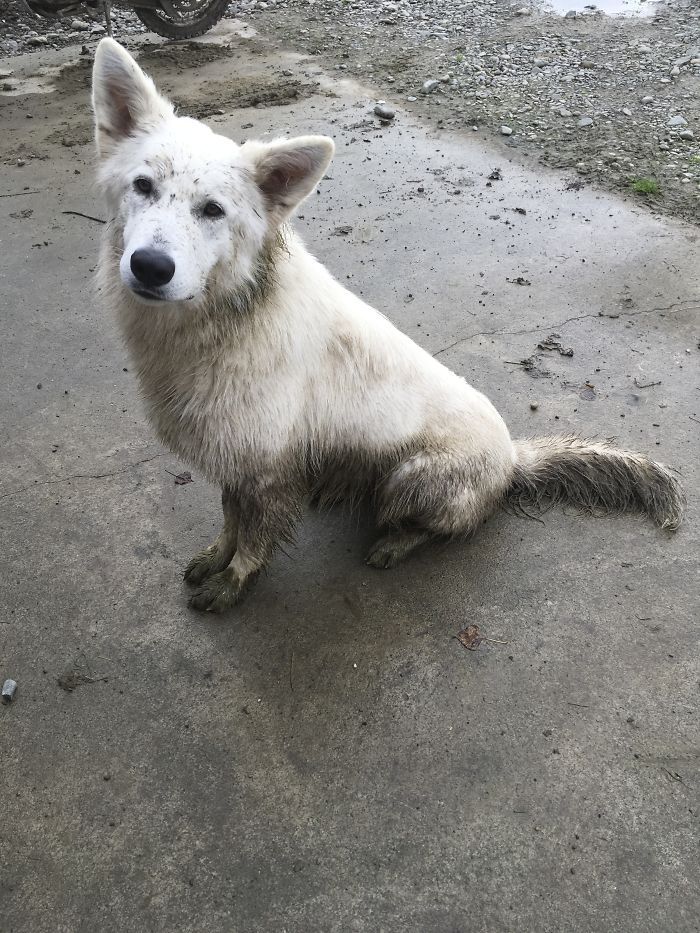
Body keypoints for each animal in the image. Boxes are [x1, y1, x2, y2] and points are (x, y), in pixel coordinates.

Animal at [91, 40, 684, 612]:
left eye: (213, 210)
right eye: (143, 185)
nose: (150, 267)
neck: (227, 312)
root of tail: (514, 460)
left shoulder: (266, 471)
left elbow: (253, 540)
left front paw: (233, 581)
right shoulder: (238, 464)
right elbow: (229, 524)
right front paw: (217, 557)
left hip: (409, 477)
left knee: (443, 527)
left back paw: (396, 542)